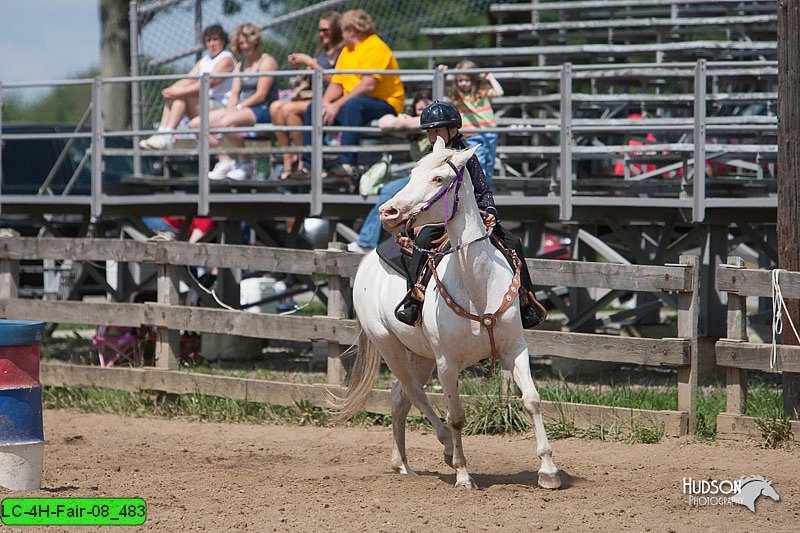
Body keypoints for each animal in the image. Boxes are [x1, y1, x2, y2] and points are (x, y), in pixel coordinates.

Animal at [334, 138, 560, 490]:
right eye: (412, 174)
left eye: (439, 178)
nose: (388, 211)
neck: (477, 285)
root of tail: (369, 259)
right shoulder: (447, 363)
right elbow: (456, 417)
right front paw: (464, 474)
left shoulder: (515, 349)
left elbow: (532, 400)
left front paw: (548, 471)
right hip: (390, 346)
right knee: (414, 393)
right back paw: (447, 451)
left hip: (420, 355)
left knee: (400, 397)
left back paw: (403, 464)